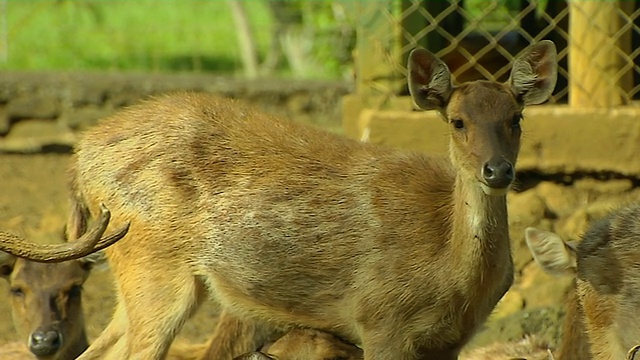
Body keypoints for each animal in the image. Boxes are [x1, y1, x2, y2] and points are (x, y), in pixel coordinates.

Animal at [0, 40, 556, 360]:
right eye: (457, 121)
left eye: (517, 117)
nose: (498, 171)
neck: (450, 276)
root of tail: (79, 157)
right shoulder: (380, 322)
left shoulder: (450, 342)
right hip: (151, 261)